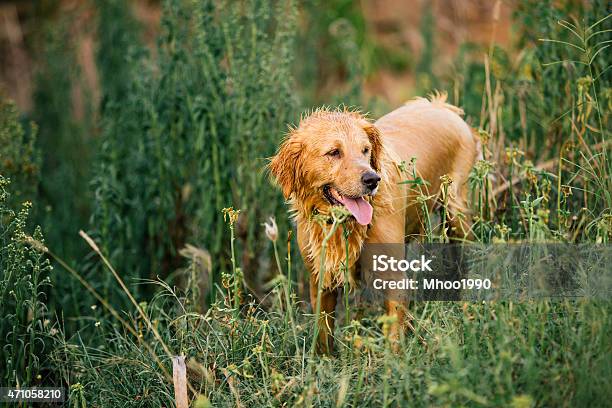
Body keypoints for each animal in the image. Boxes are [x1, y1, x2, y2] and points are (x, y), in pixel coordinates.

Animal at [268, 91, 478, 350]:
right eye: (333, 152)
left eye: (365, 150)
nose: (372, 179)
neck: (345, 225)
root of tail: (442, 107)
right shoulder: (320, 280)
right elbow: (323, 335)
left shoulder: (395, 278)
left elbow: (394, 339)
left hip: (456, 213)